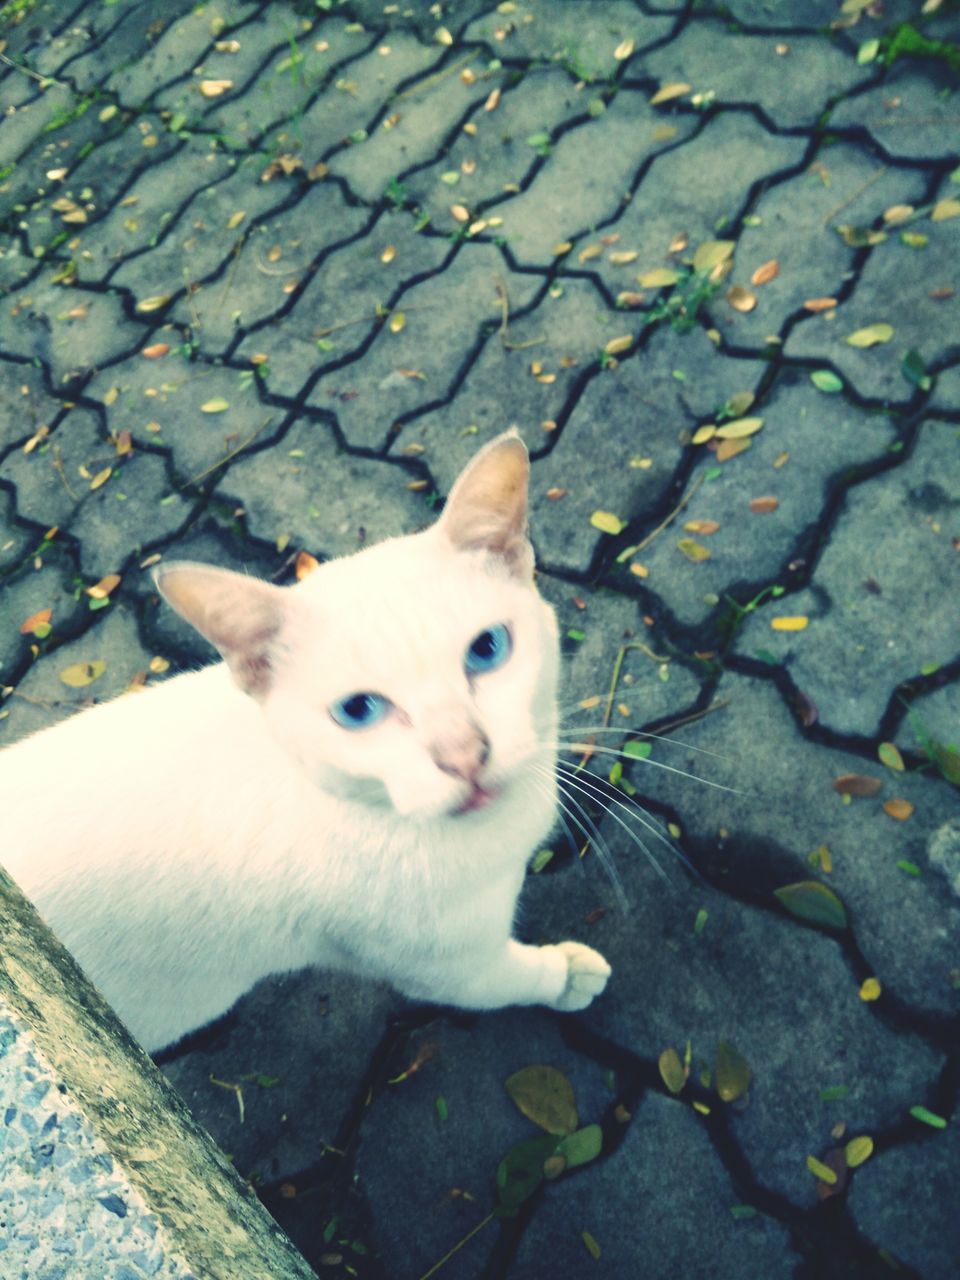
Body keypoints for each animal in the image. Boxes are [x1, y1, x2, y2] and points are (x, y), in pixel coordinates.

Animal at [0, 435, 611, 1054]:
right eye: (358, 711)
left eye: (487, 649)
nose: (463, 754)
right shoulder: (449, 966)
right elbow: (510, 976)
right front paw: (564, 977)